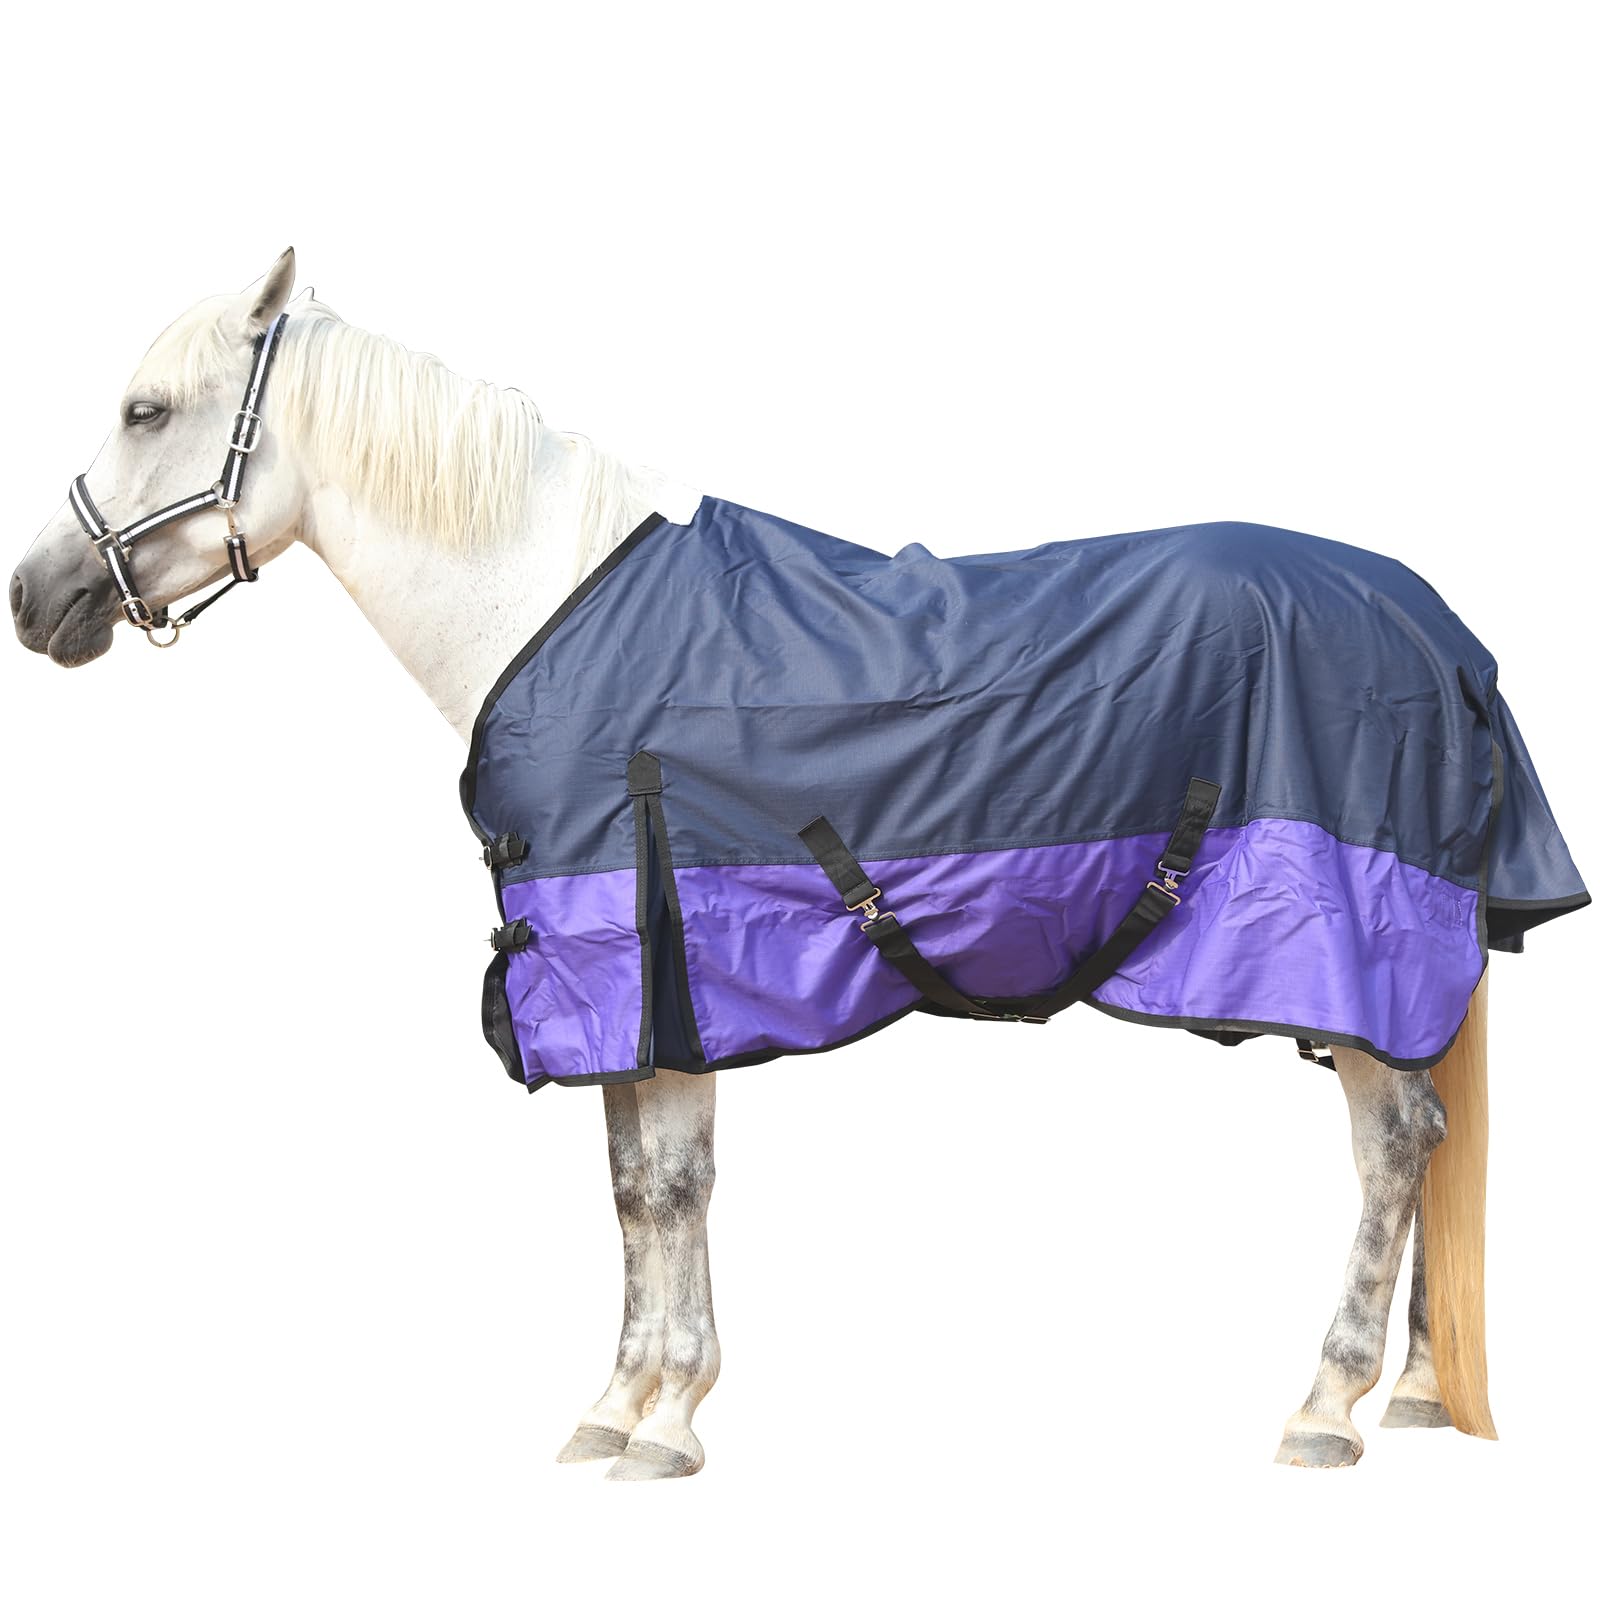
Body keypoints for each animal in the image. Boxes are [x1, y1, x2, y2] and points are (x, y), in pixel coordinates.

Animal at [11, 250, 1585, 1478]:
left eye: (148, 410)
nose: (37, 597)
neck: (543, 600)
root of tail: (1437, 631)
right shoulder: (644, 981)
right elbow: (638, 1183)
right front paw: (620, 1406)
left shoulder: (645, 950)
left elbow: (667, 1187)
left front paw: (661, 1422)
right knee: (1427, 1140)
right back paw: (1422, 1393)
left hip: (1342, 950)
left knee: (1392, 1147)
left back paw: (1326, 1405)